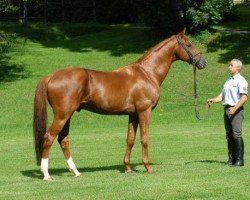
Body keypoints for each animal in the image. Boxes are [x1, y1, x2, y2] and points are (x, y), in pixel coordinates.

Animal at [33, 28, 207, 180]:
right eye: (189, 44)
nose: (203, 62)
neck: (147, 73)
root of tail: (51, 76)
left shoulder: (133, 114)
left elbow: (130, 140)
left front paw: (128, 168)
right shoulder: (144, 111)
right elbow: (144, 139)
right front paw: (148, 167)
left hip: (67, 115)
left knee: (63, 140)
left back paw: (75, 171)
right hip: (62, 115)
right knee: (48, 138)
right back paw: (46, 175)